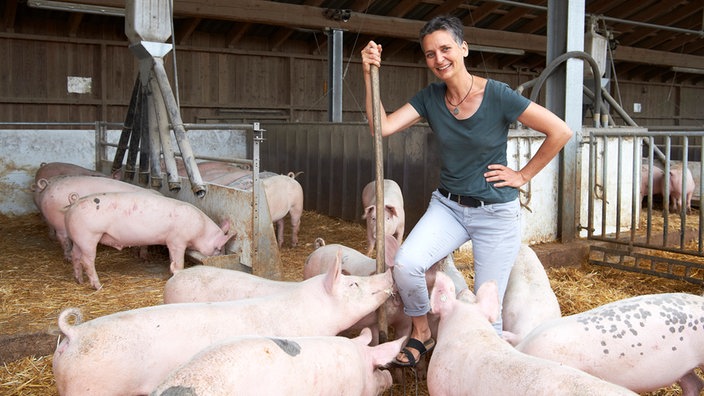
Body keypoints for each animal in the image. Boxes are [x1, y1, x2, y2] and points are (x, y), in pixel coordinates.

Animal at [62, 190, 230, 290]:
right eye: (219, 248)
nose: (222, 256)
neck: (201, 229)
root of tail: (73, 205)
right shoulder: (177, 241)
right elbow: (179, 262)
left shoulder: (170, 242)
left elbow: (172, 260)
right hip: (89, 236)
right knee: (87, 261)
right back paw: (98, 286)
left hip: (78, 239)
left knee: (75, 256)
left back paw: (79, 281)